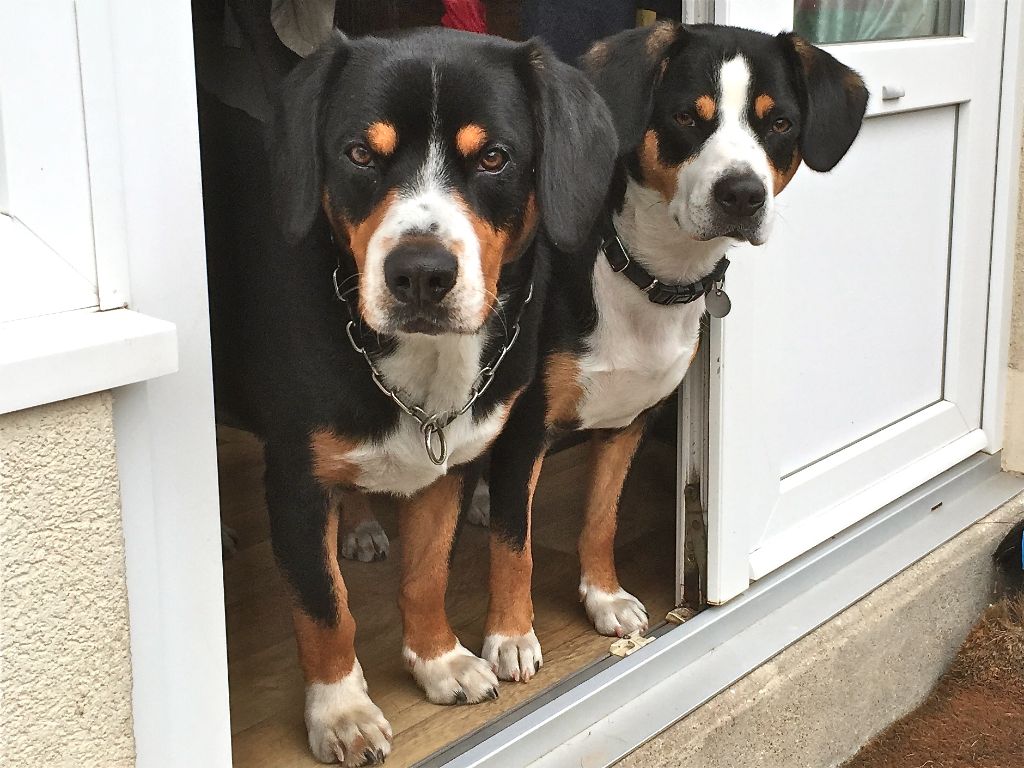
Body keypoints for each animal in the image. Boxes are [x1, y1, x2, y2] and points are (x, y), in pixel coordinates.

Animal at [468, 19, 868, 679]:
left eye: (779, 123)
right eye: (686, 116)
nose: (742, 194)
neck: (646, 275)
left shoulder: (630, 419)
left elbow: (601, 519)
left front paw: (603, 597)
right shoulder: (526, 425)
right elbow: (513, 545)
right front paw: (511, 636)